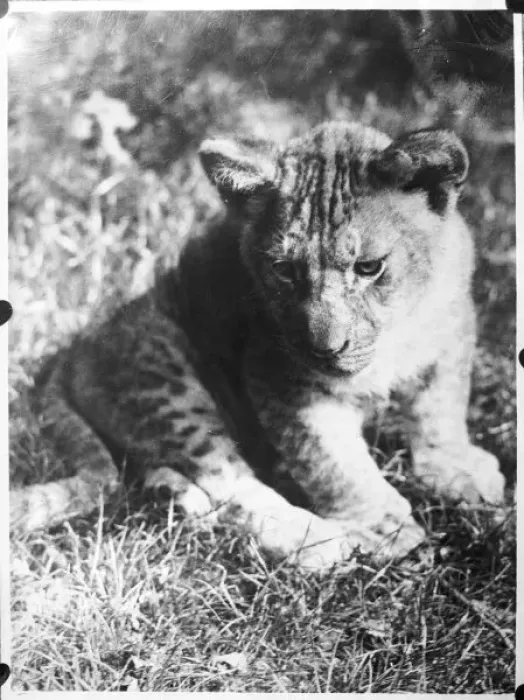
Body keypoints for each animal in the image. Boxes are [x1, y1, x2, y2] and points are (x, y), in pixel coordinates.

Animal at [10, 120, 505, 571]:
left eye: (369, 267)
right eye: (284, 270)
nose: (326, 349)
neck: (395, 338)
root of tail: (71, 353)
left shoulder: (453, 328)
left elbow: (441, 410)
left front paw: (457, 469)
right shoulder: (280, 381)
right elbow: (333, 463)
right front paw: (380, 524)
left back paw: (174, 494)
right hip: (166, 376)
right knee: (230, 485)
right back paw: (316, 540)